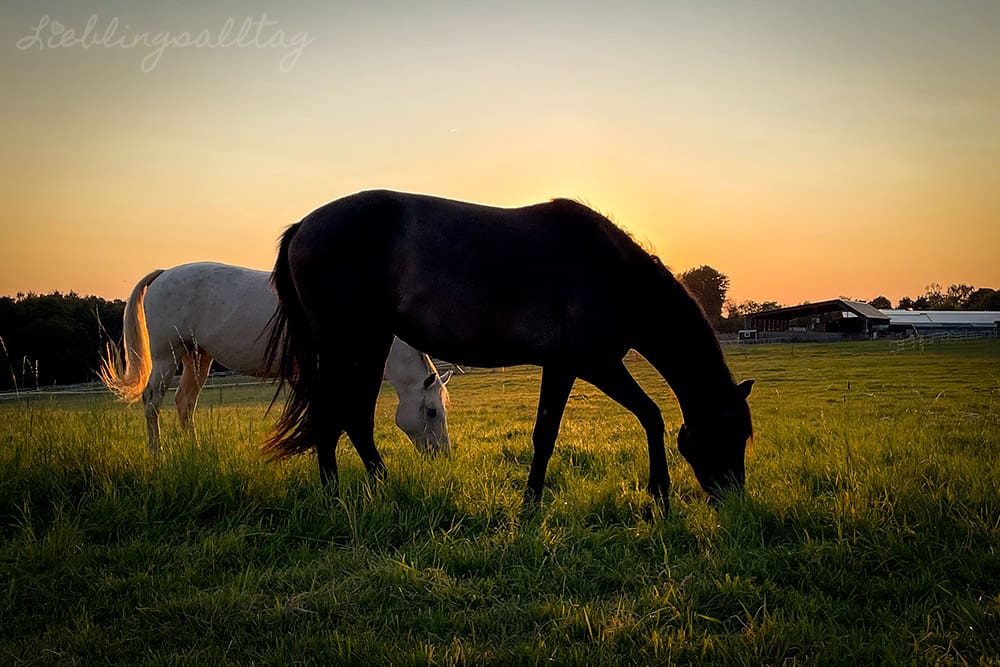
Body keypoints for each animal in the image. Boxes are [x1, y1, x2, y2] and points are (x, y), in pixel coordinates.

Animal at [98, 260, 454, 460]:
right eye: (432, 411)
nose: (442, 457)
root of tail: (164, 275)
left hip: (198, 358)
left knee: (185, 402)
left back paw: (193, 451)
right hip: (165, 358)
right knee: (152, 402)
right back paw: (157, 455)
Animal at [262, 190, 752, 508]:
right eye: (735, 433)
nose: (733, 500)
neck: (614, 272)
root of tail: (303, 227)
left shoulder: (564, 366)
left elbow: (546, 433)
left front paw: (531, 501)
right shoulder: (595, 364)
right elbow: (648, 416)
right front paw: (659, 494)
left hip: (368, 344)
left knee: (353, 417)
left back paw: (375, 488)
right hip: (348, 345)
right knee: (336, 415)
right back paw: (339, 497)